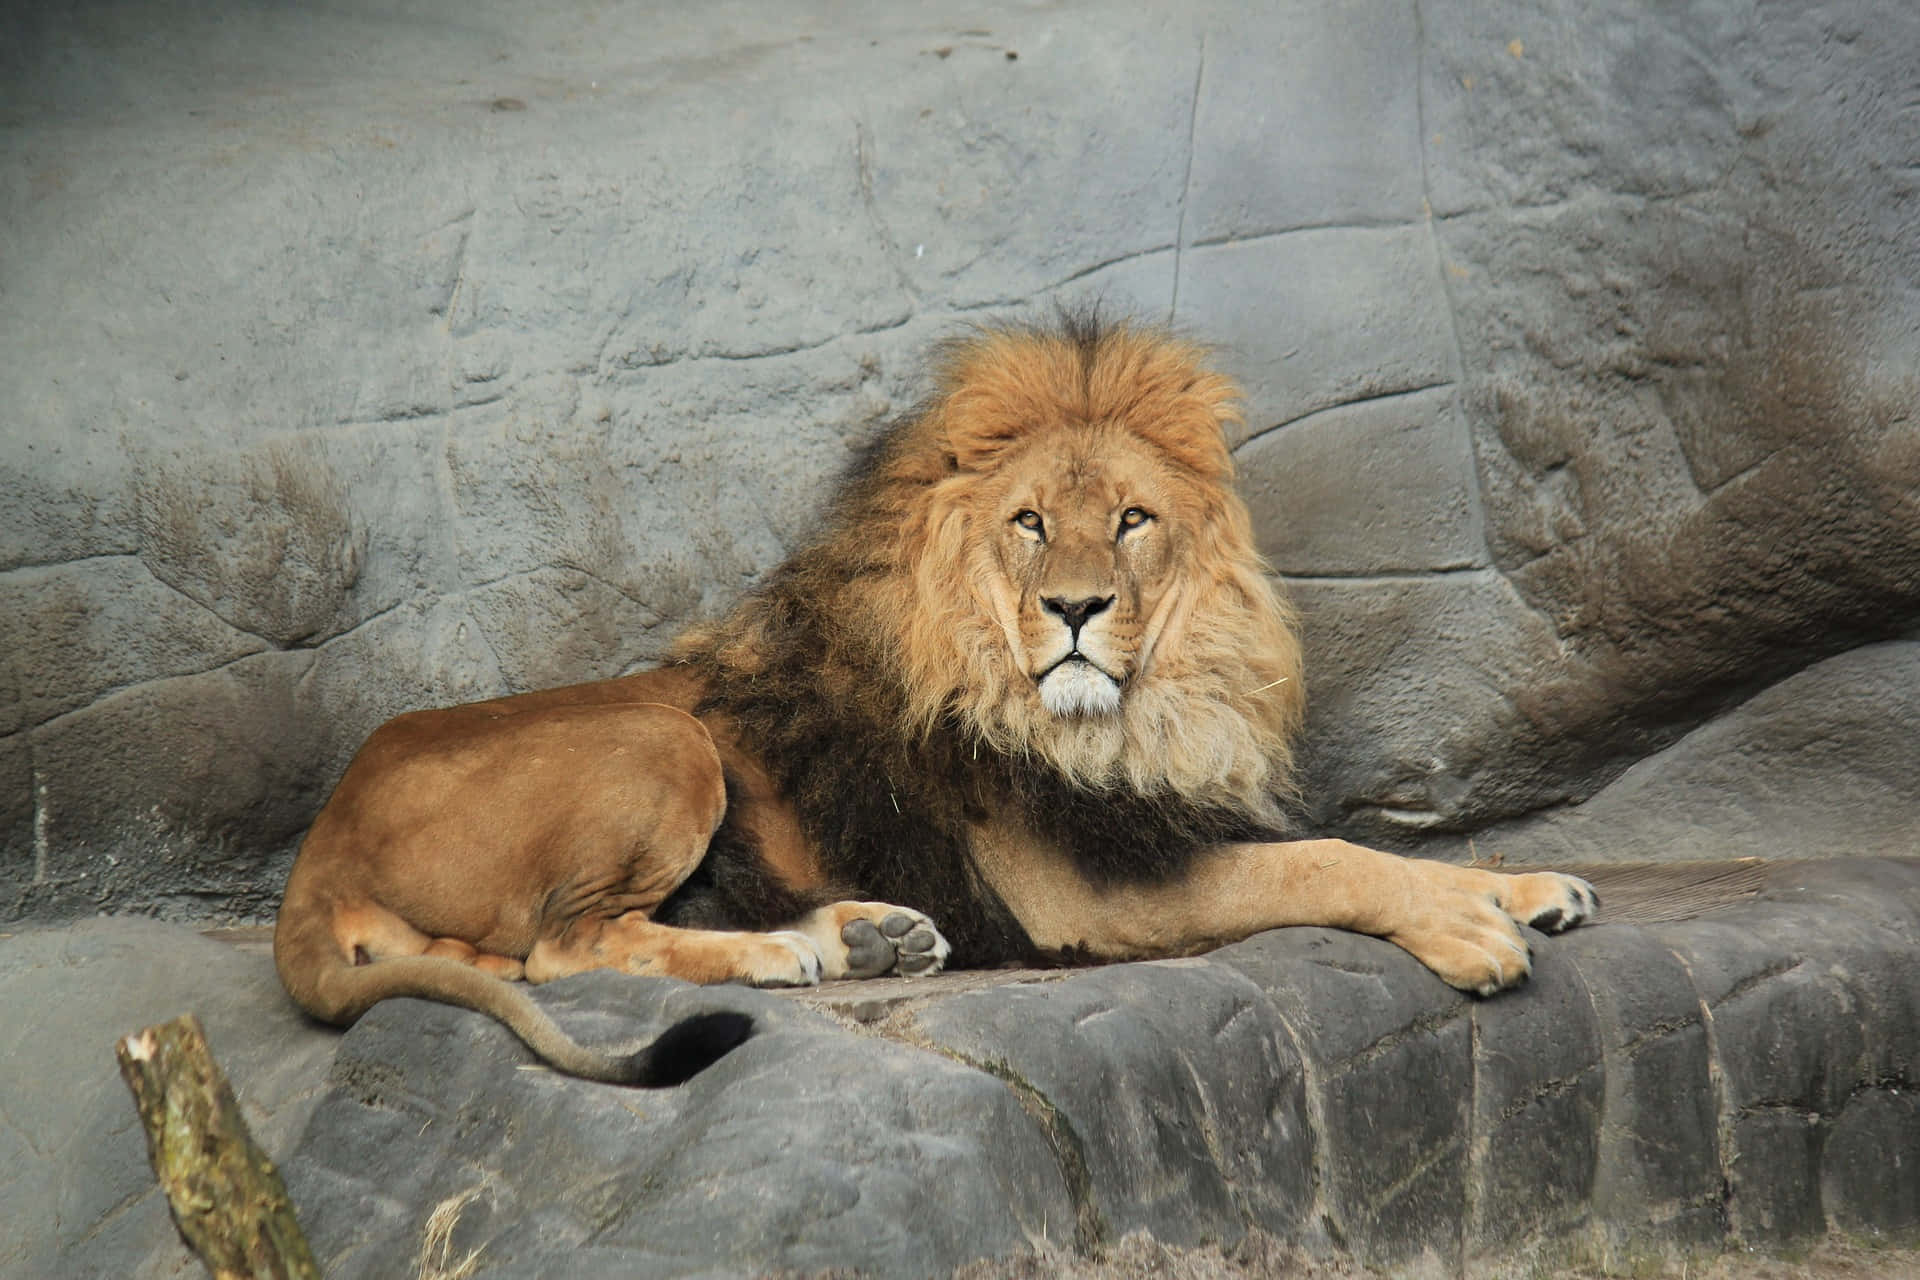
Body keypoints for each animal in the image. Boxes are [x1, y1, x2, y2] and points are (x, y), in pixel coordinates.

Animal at [274, 313, 1597, 1085]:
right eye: (1030, 522)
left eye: (1132, 518)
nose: (1077, 608)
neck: (1138, 716)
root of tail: (318, 845)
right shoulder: (1089, 888)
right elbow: (1328, 859)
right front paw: (1472, 930)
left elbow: (1379, 847)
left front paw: (1528, 882)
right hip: (662, 736)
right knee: (562, 946)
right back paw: (787, 952)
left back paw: (864, 932)